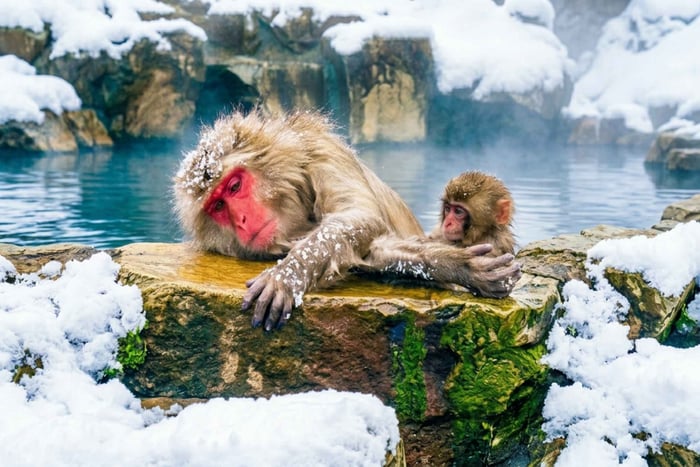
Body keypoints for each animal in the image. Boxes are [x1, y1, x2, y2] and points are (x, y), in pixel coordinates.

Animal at [173, 110, 521, 331]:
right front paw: (458, 266)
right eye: (218, 206)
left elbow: (359, 216)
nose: (242, 220)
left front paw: (288, 273)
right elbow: (371, 253)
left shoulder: (321, 152)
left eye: (235, 186)